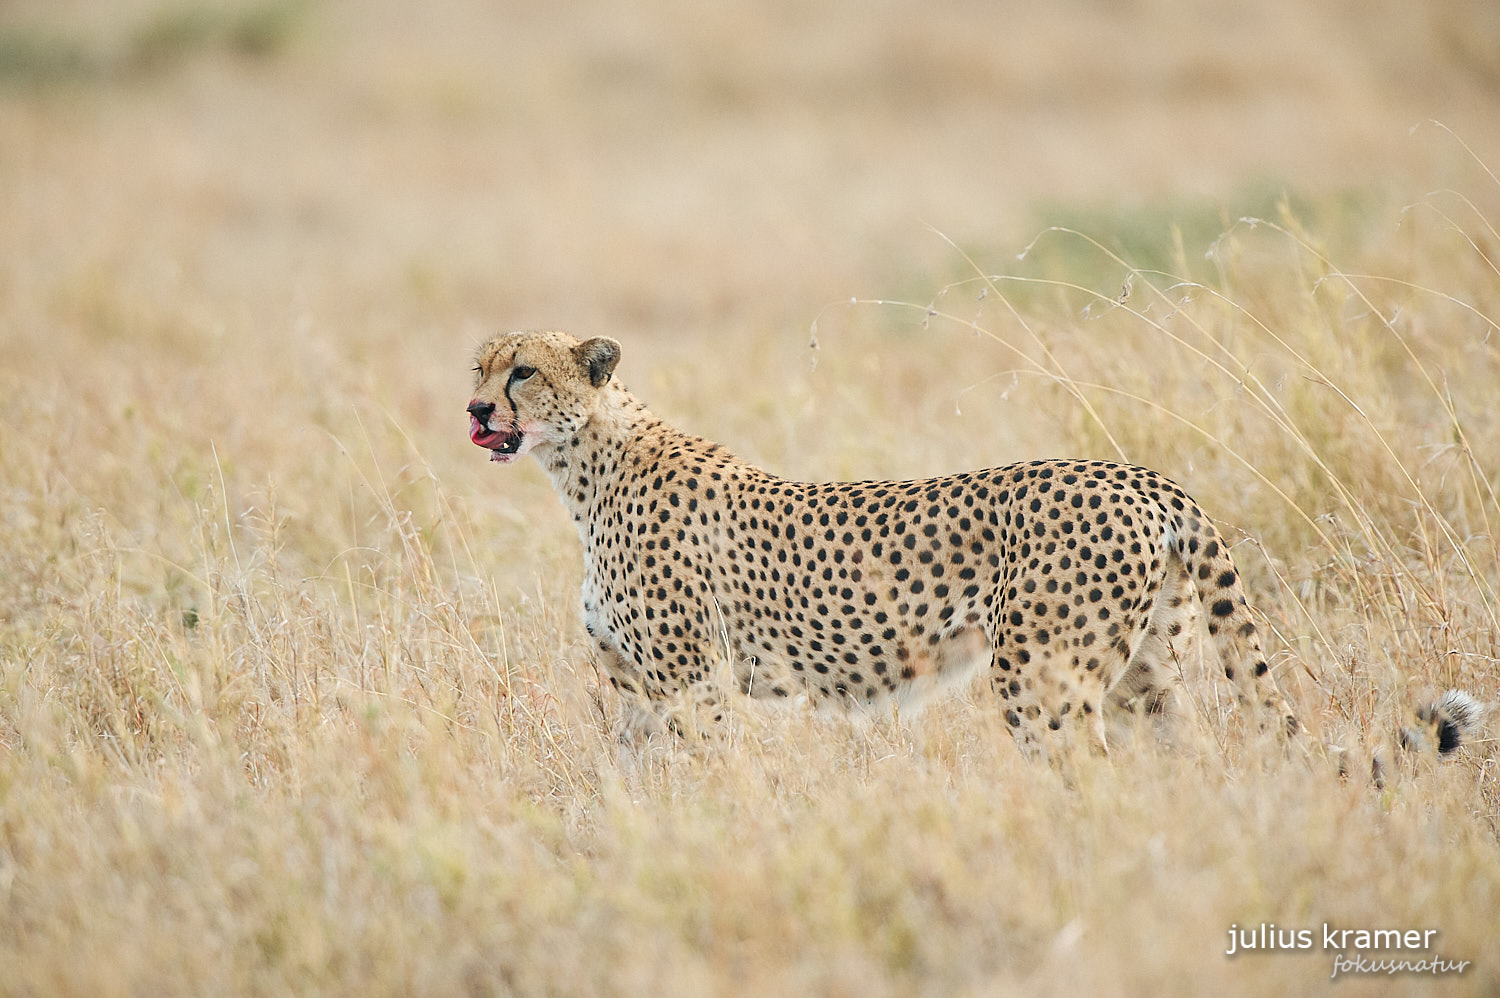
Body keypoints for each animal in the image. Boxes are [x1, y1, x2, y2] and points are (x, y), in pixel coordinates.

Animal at [468, 330, 1302, 750]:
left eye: (525, 372)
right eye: (479, 368)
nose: (476, 410)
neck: (585, 469)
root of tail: (1138, 475)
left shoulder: (694, 684)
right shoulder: (638, 691)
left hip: (1041, 679)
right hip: (1148, 675)